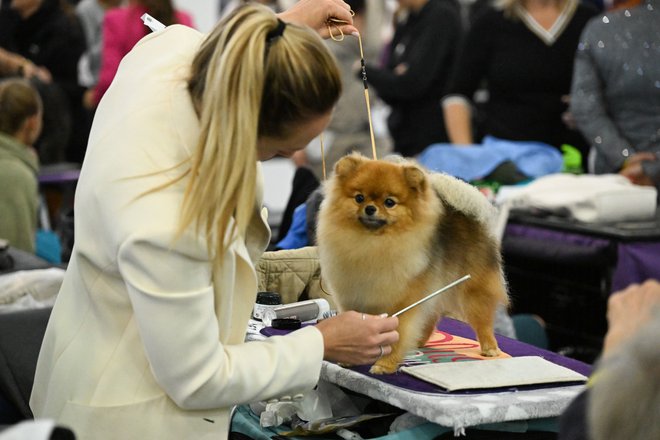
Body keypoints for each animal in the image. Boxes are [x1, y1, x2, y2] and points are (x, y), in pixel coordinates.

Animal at [318, 153, 508, 372]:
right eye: (359, 198)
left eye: (389, 202)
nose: (370, 208)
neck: (372, 244)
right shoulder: (354, 295)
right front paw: (350, 355)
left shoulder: (404, 300)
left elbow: (399, 335)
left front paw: (385, 365)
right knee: (431, 316)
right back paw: (419, 341)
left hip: (471, 289)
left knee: (482, 319)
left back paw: (490, 347)